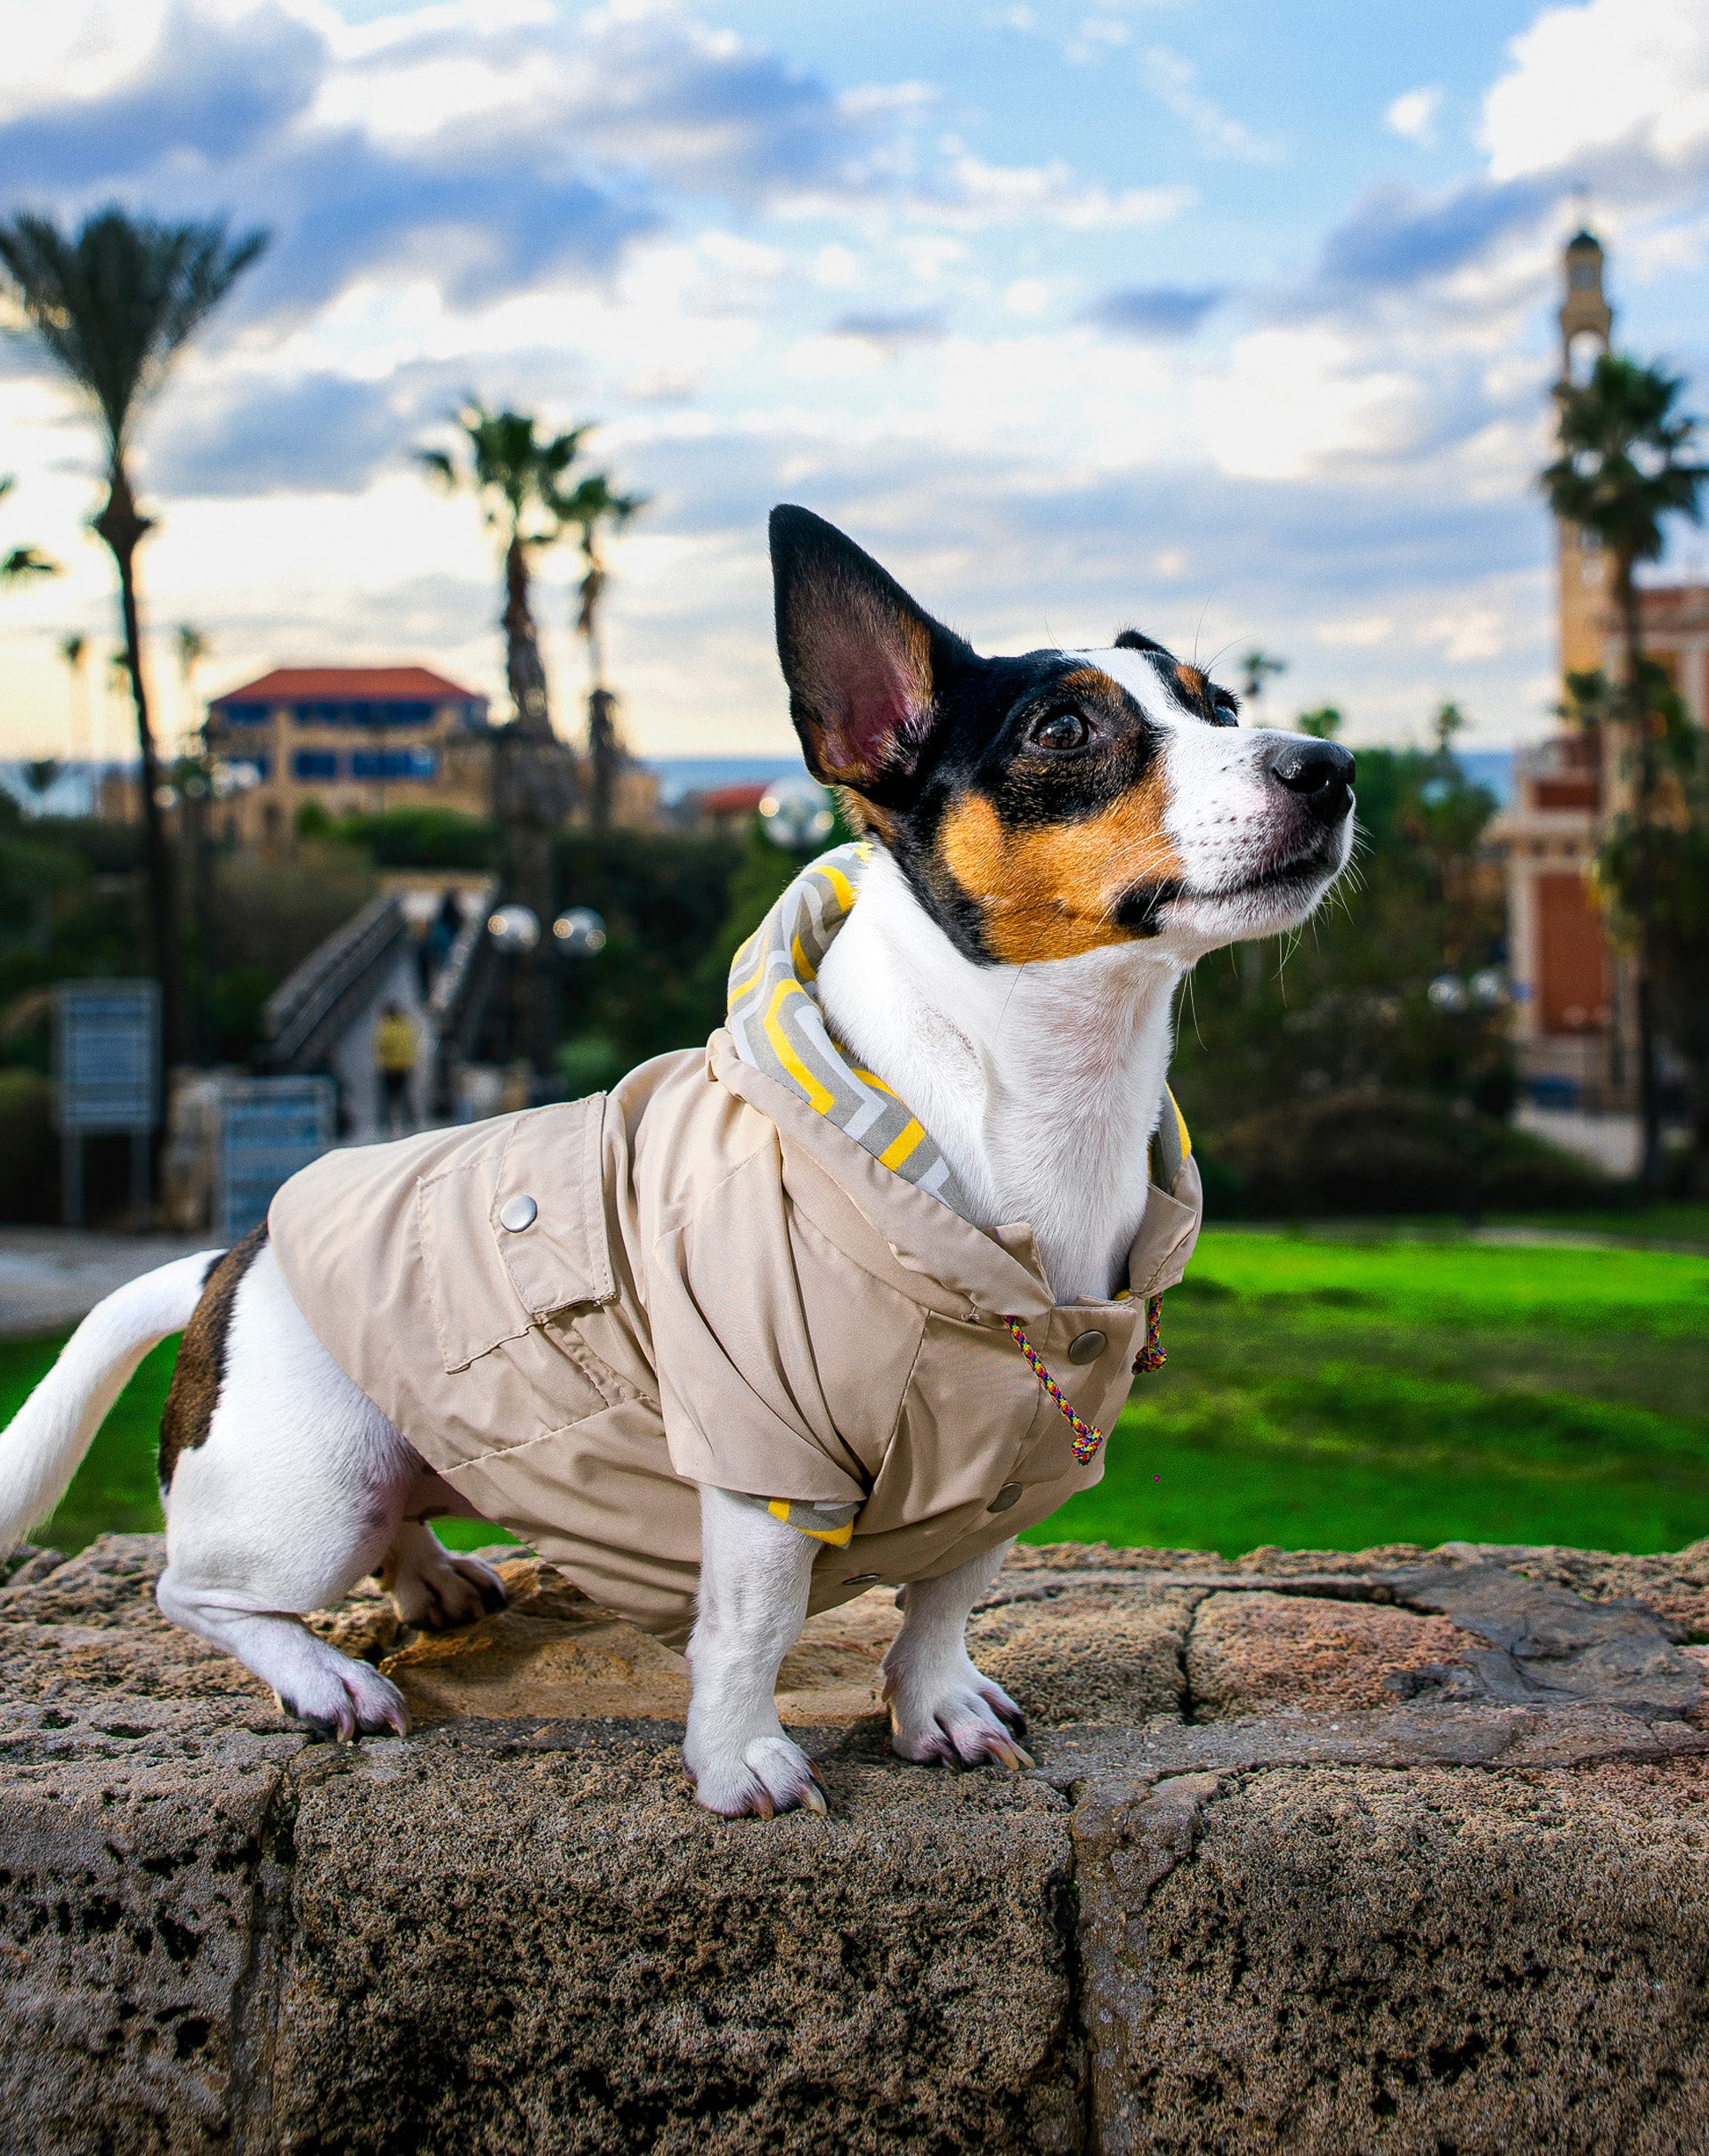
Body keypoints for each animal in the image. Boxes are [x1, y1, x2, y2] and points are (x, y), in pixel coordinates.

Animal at [3, 513, 1362, 1811]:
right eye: (1066, 727)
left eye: (1220, 704)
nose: (1333, 766)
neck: (1028, 1097)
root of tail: (230, 1259)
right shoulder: (761, 1446)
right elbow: (754, 1622)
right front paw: (738, 1758)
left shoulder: (1025, 1446)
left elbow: (945, 1596)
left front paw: (934, 1704)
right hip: (314, 1485)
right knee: (202, 1592)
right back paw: (324, 1674)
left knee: (382, 1533)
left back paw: (435, 1580)